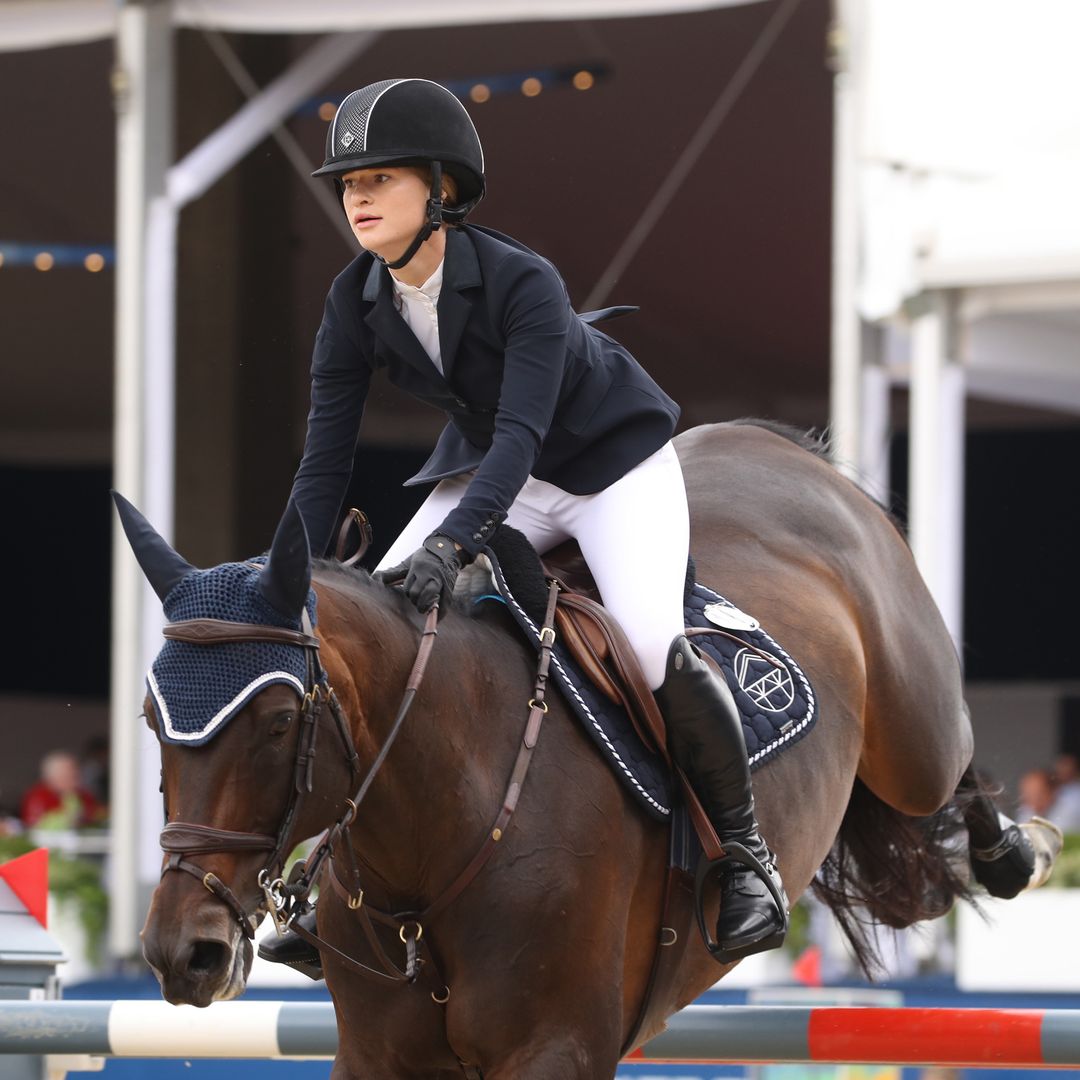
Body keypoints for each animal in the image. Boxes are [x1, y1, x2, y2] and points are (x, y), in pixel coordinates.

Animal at [124, 421, 1054, 1080]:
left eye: (280, 722)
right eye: (151, 719)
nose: (182, 954)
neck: (440, 833)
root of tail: (784, 447)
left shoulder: (555, 1051)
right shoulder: (377, 1057)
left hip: (912, 732)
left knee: (950, 766)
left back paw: (1015, 853)